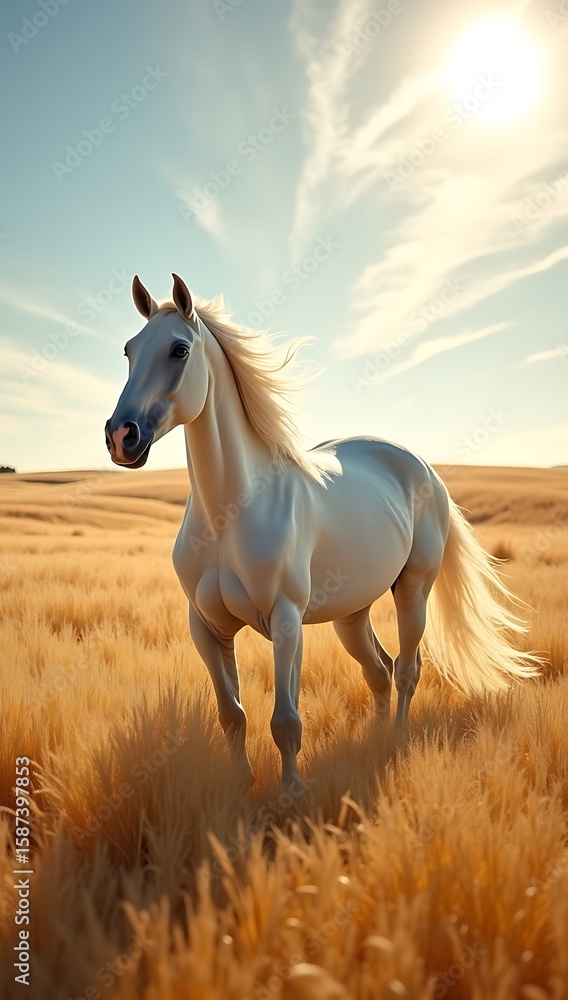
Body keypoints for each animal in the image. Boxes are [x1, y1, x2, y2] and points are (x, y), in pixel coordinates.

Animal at [105, 274, 540, 787]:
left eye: (178, 350)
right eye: (129, 350)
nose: (120, 436)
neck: (230, 513)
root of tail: (422, 467)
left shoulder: (286, 621)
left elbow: (286, 721)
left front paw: (290, 793)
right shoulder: (207, 627)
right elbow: (233, 714)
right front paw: (241, 785)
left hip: (413, 590)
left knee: (407, 669)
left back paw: (394, 742)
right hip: (350, 613)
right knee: (380, 671)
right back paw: (373, 743)